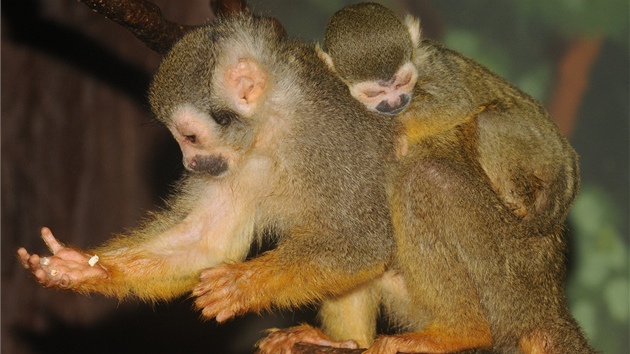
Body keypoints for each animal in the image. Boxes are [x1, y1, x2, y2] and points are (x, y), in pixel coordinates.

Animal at [320, 2, 584, 235]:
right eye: (374, 94)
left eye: (403, 82)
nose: (395, 103)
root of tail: (567, 163)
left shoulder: (431, 66)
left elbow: (456, 102)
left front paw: (399, 132)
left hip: (540, 148)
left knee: (488, 122)